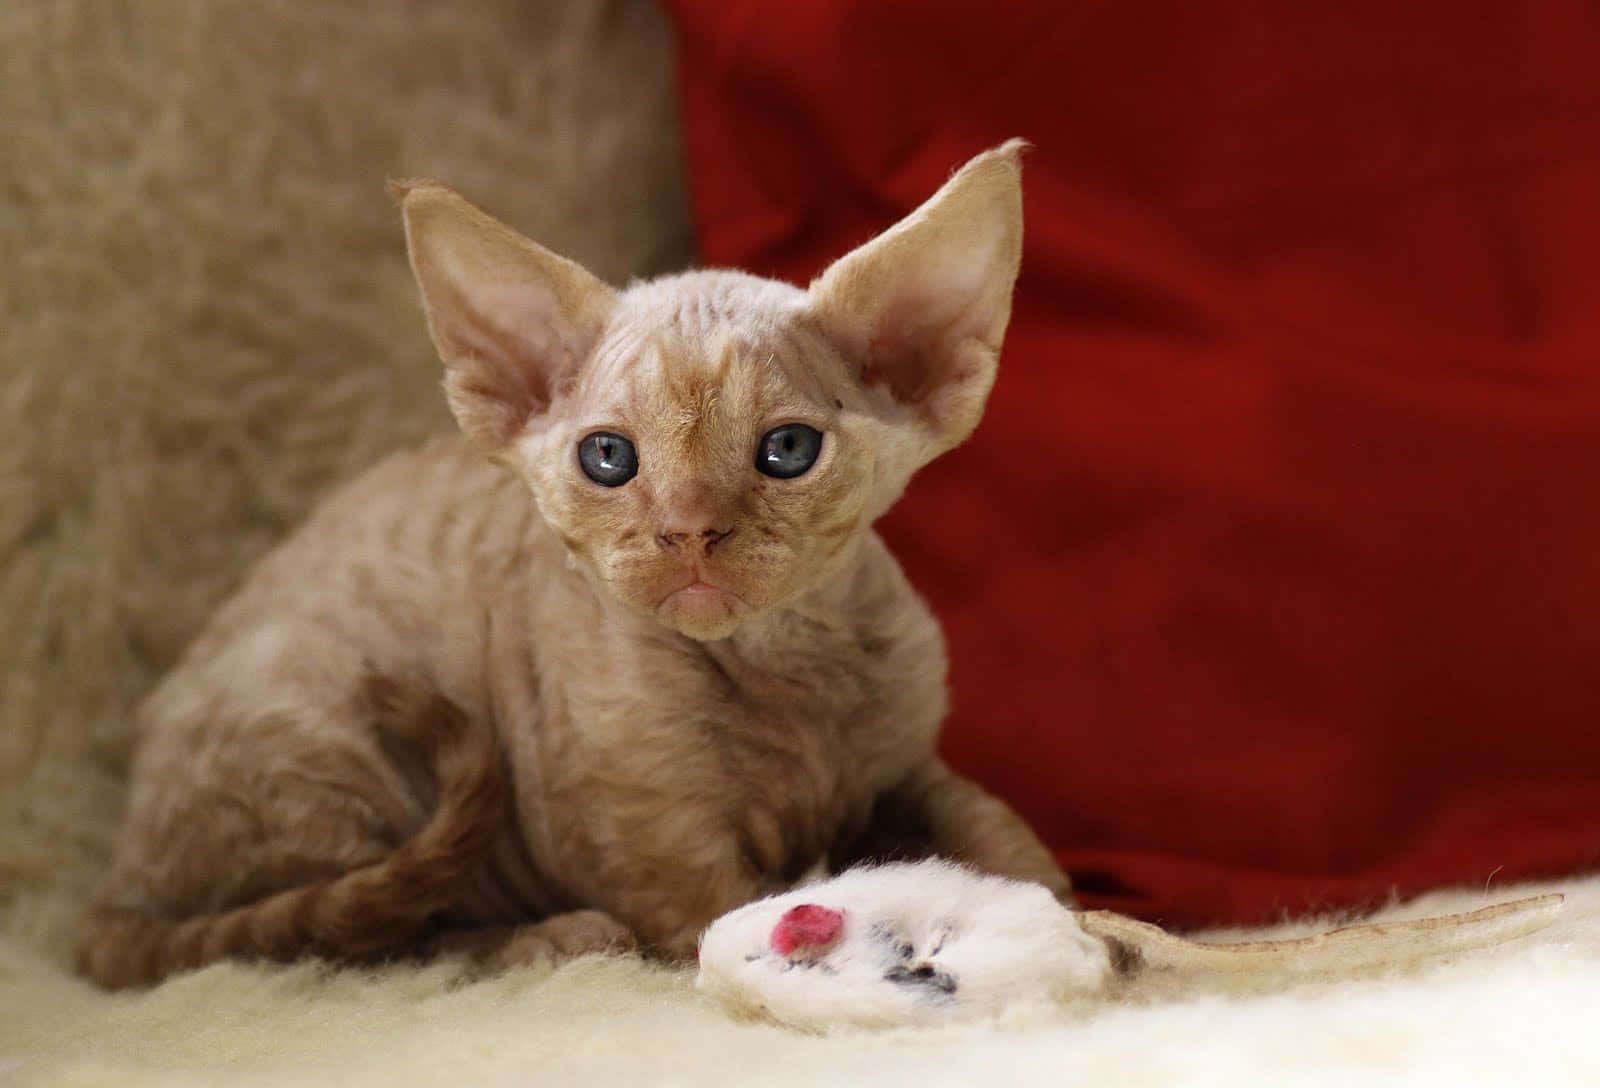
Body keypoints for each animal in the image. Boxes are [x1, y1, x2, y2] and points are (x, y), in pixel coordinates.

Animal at [75, 140, 1075, 992]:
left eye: (787, 450)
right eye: (608, 459)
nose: (689, 530)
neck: (790, 668)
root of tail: (120, 876)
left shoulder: (906, 761)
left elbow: (998, 834)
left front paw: (1074, 922)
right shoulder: (653, 839)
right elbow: (726, 918)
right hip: (323, 733)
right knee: (358, 937)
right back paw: (548, 938)